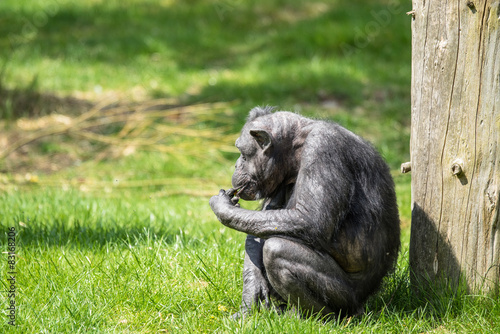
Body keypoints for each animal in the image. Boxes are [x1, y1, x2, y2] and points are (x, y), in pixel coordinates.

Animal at [209, 106, 400, 318]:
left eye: (242, 154)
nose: (236, 164)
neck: (296, 151)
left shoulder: (322, 146)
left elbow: (310, 220)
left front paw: (222, 206)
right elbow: (258, 227)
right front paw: (250, 299)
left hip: (349, 298)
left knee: (277, 249)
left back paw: (311, 317)